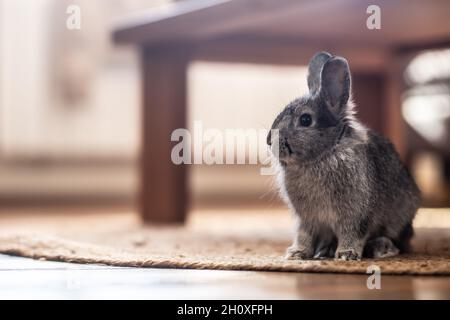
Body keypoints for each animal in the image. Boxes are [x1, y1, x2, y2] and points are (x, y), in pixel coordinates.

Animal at [266, 52, 420, 260]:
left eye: (305, 120)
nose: (269, 141)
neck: (325, 153)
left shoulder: (355, 214)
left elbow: (352, 233)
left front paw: (346, 255)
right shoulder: (307, 219)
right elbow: (304, 235)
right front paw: (297, 253)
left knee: (399, 242)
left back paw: (381, 248)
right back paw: (325, 250)